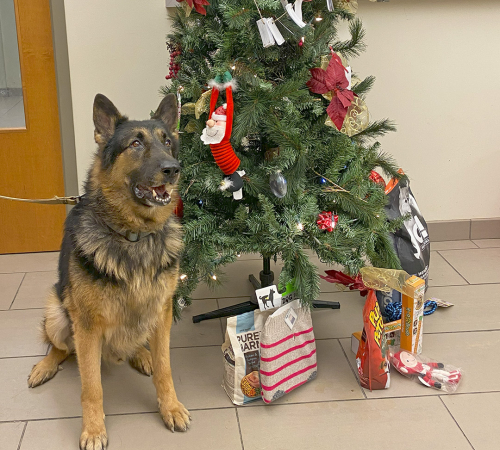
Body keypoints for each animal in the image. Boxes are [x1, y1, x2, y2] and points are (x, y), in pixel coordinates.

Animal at [28, 93, 190, 448]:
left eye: (167, 142)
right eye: (135, 144)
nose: (173, 169)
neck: (133, 235)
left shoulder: (163, 311)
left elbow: (166, 369)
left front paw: (170, 407)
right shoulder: (87, 326)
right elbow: (92, 388)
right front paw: (93, 429)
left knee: (136, 344)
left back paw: (141, 354)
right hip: (59, 315)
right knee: (60, 348)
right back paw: (45, 366)